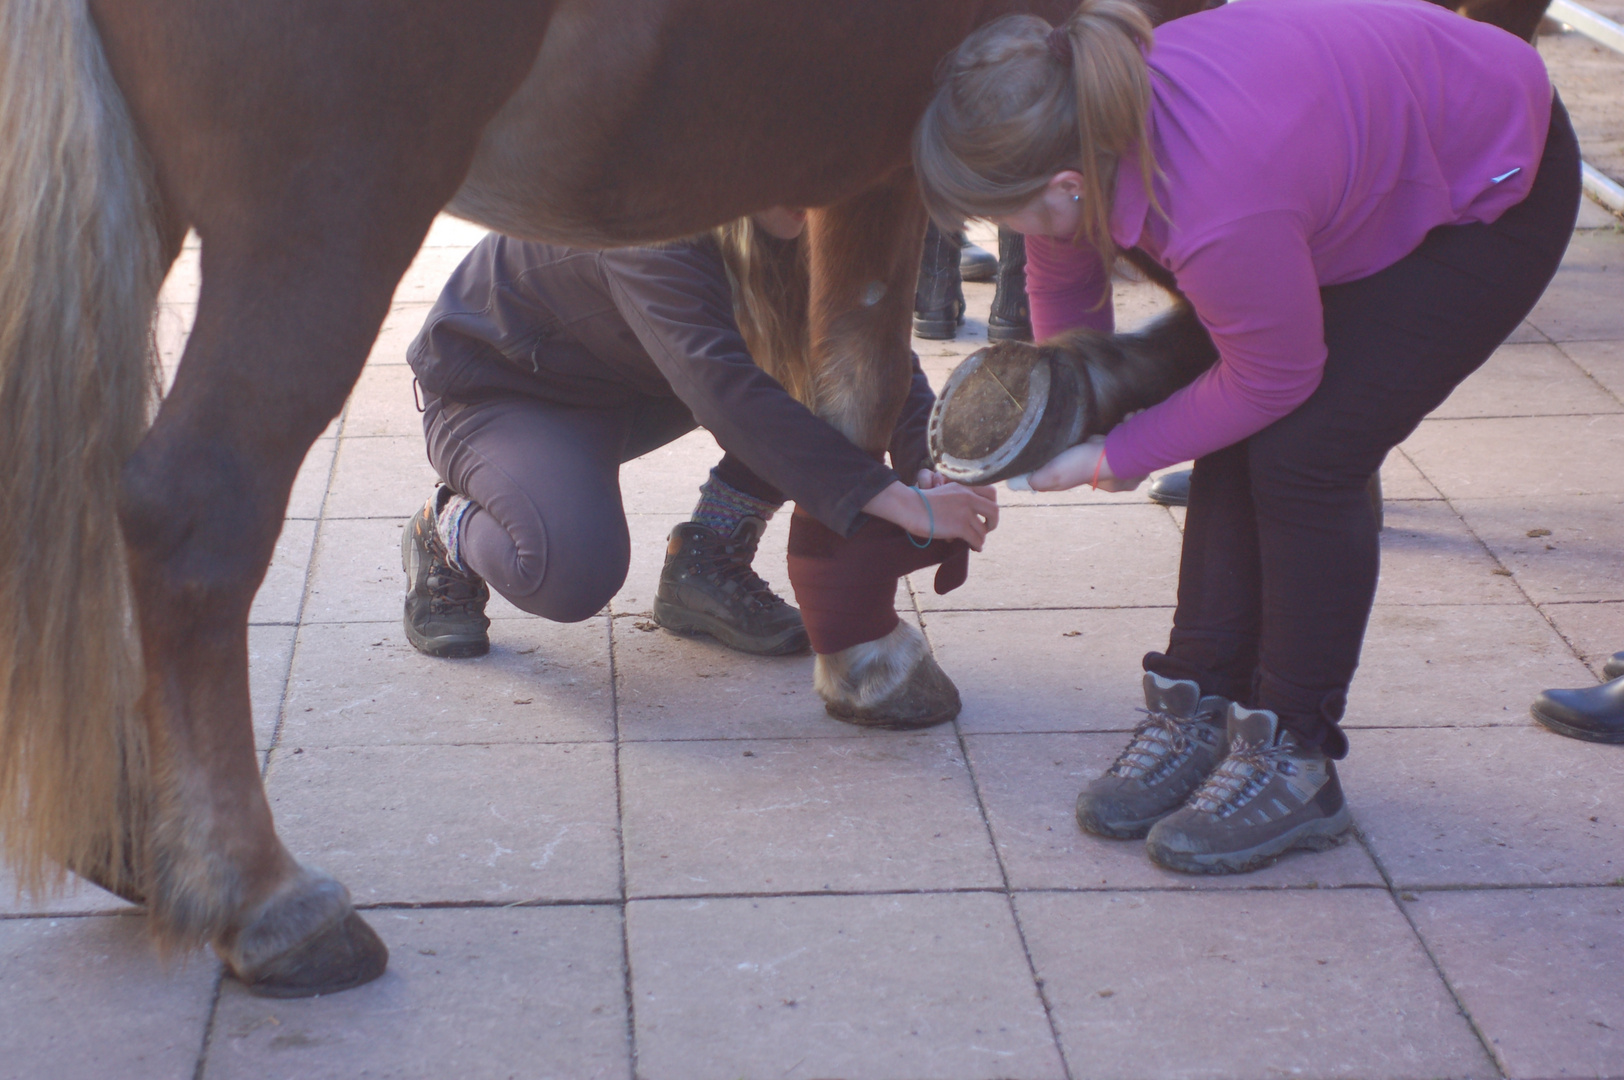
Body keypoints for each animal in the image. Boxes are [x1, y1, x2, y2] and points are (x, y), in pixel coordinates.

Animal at [0, 0, 1546, 1000]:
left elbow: (842, 397)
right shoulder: (888, 151)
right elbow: (858, 397)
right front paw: (870, 644)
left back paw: (129, 838)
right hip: (330, 197)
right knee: (193, 506)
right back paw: (263, 898)